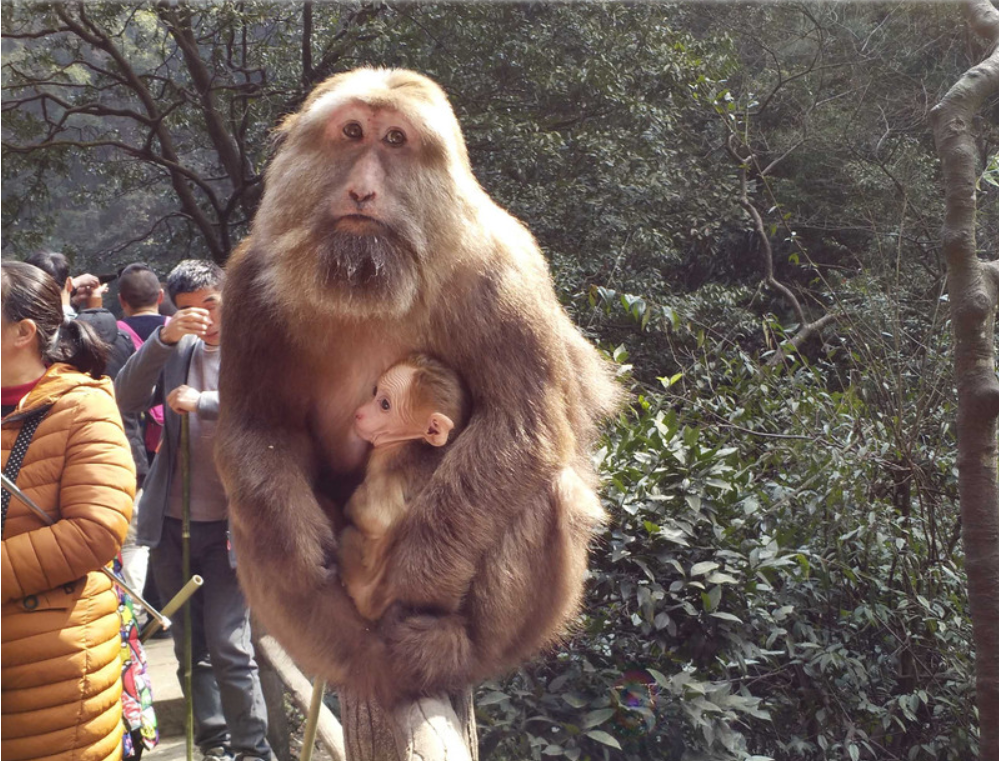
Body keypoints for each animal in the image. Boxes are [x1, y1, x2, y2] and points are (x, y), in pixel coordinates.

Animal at [342, 354, 470, 620]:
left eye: (385, 405)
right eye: (374, 391)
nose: (359, 413)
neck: (412, 441)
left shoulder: (385, 459)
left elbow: (379, 518)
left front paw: (350, 507)